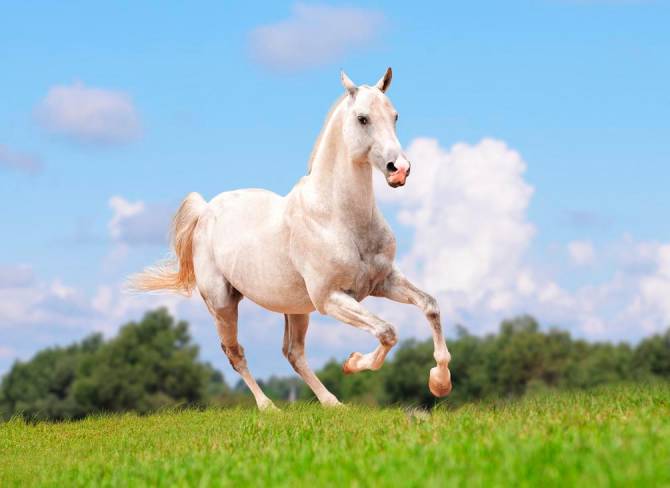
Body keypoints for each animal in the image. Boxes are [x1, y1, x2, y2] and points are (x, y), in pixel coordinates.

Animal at [130, 67, 456, 408]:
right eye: (363, 118)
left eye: (395, 116)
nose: (399, 170)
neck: (337, 217)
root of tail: (206, 210)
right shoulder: (331, 298)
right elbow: (387, 331)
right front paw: (353, 363)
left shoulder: (384, 282)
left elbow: (430, 306)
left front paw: (440, 383)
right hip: (223, 304)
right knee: (236, 353)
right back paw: (269, 407)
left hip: (296, 309)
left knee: (293, 353)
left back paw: (332, 403)